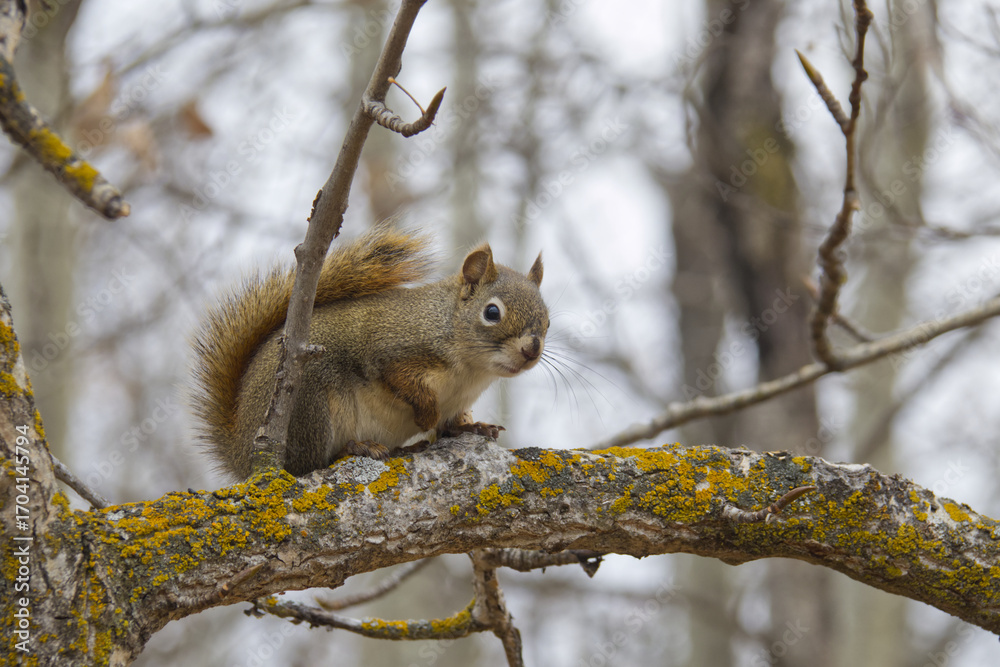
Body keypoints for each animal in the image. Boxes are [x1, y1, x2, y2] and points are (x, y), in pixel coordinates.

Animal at [191, 225, 549, 480]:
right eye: (492, 312)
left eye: (546, 316)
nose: (532, 349)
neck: (471, 370)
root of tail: (242, 454)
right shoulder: (391, 350)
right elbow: (403, 382)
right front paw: (426, 415)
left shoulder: (460, 399)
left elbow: (452, 425)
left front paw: (474, 427)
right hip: (308, 406)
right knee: (306, 466)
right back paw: (357, 447)